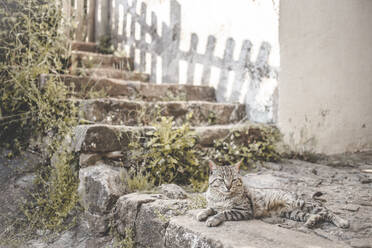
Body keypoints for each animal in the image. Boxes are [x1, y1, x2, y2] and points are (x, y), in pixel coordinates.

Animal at [196, 161, 350, 229]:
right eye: (221, 180)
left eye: (233, 180)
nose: (228, 186)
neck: (220, 197)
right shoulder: (214, 204)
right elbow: (210, 208)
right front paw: (202, 213)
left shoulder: (244, 210)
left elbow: (223, 213)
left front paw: (212, 219)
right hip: (292, 213)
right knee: (315, 215)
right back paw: (311, 221)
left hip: (303, 204)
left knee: (327, 212)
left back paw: (342, 221)